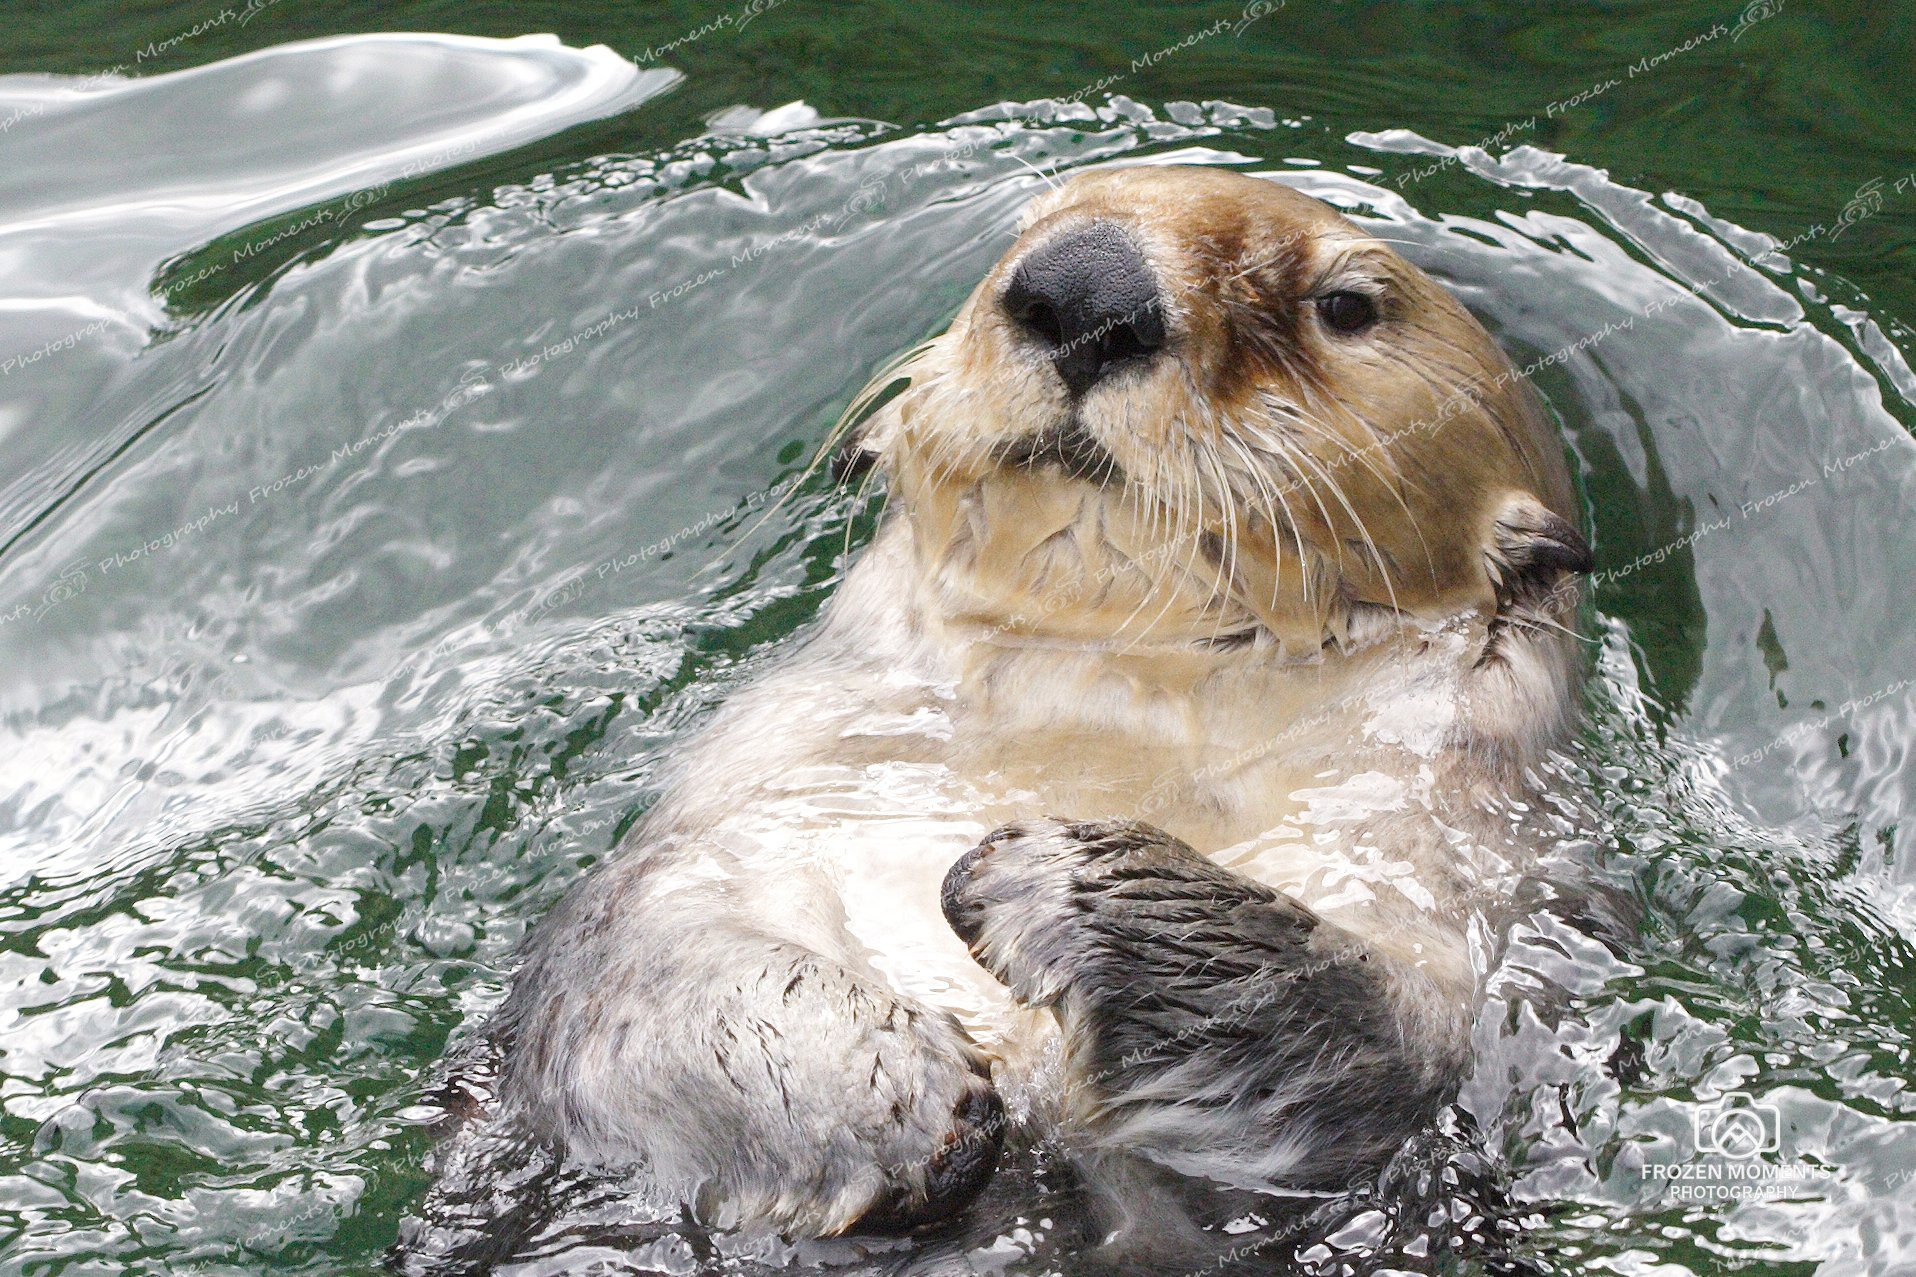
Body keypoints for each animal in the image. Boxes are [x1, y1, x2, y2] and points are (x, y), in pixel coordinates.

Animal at [487, 166, 1591, 1239]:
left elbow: (1370, 1033)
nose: (1085, 285)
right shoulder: (754, 794)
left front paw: (1065, 882)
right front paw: (883, 1093)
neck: (1112, 697)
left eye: (1347, 305)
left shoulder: (1446, 878)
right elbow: (635, 960)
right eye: (1031, 223)